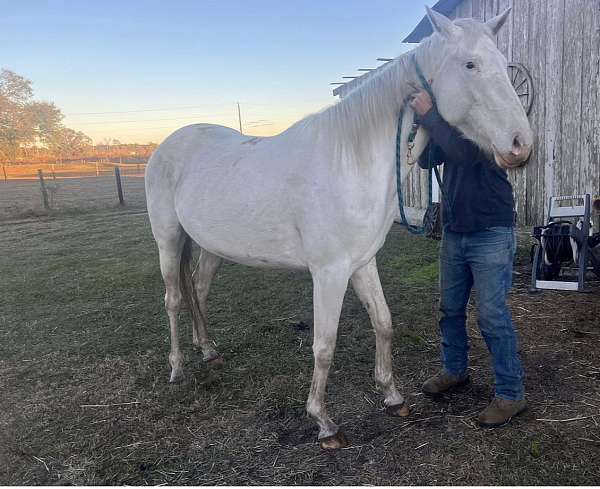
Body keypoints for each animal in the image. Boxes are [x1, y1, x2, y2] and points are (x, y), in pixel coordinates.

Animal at [146, 8, 536, 450]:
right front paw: (323, 422)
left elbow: (383, 322)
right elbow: (325, 344)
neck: (350, 160)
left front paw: (393, 396)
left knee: (198, 289)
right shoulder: (329, 272)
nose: (520, 144)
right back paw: (177, 368)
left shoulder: (362, 263)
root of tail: (166, 146)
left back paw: (208, 350)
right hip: (168, 240)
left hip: (210, 246)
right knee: (174, 299)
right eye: (470, 64)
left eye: (504, 65)